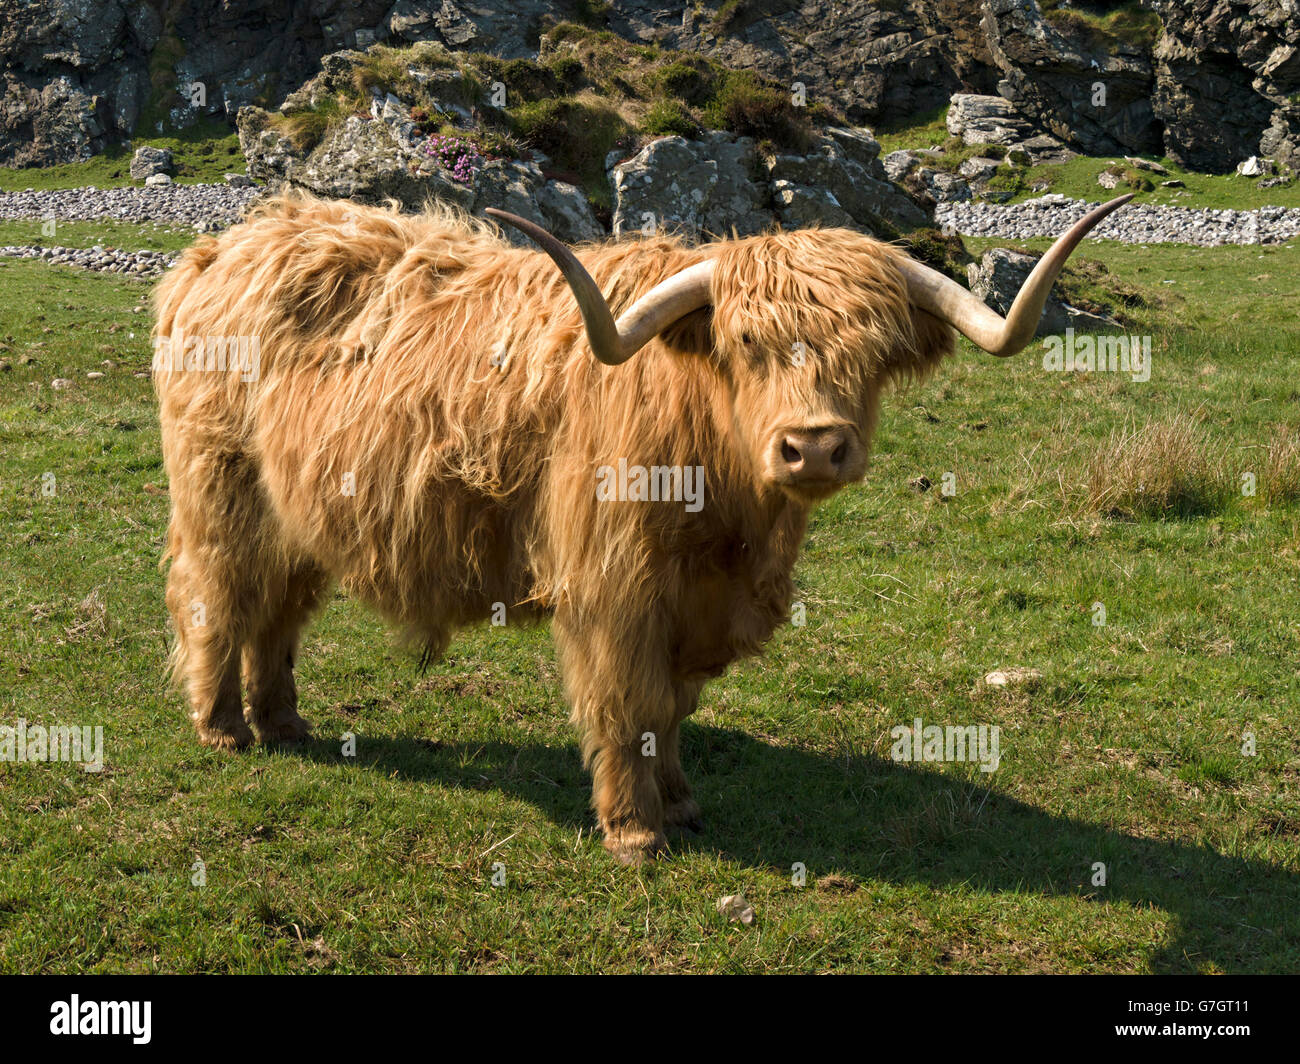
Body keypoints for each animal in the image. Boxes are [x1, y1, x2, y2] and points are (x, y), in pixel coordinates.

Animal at [152, 190, 1132, 863]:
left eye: (870, 351)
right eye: (747, 346)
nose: (814, 446)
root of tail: (226, 246)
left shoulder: (698, 603)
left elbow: (676, 703)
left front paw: (682, 801)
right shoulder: (615, 584)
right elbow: (628, 699)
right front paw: (635, 831)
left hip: (297, 516)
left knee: (275, 614)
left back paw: (283, 723)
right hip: (220, 492)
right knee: (215, 595)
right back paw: (223, 727)